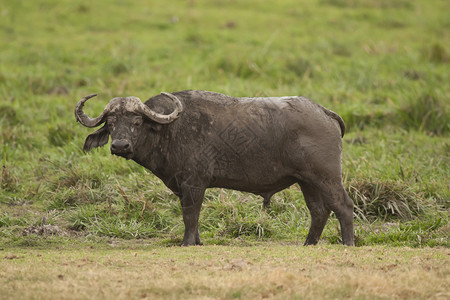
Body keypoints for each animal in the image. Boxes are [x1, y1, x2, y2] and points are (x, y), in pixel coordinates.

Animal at [74, 91, 356, 246]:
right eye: (111, 123)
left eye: (136, 122)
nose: (119, 145)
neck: (170, 129)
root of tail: (323, 111)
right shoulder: (184, 187)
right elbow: (192, 216)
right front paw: (197, 242)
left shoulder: (194, 183)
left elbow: (190, 215)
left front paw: (187, 243)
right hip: (306, 181)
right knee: (319, 211)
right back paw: (308, 244)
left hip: (327, 177)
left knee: (343, 205)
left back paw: (348, 243)